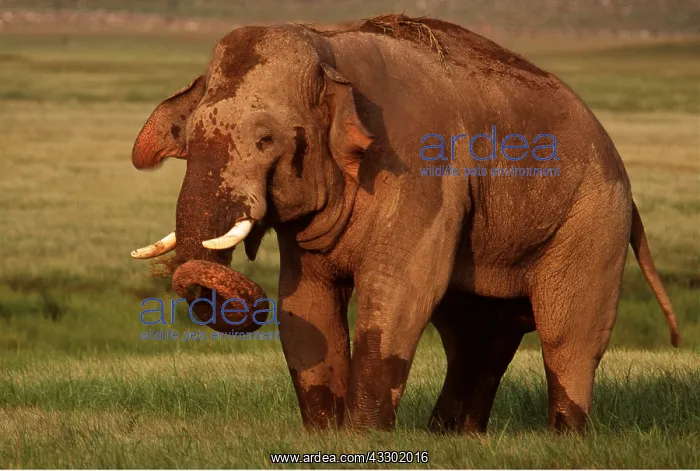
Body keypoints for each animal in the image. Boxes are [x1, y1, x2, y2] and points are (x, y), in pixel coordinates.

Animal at [128, 13, 680, 433]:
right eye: (187, 136)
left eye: (265, 140)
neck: (329, 47)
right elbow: (303, 302)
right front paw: (325, 436)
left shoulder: (419, 169)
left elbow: (399, 289)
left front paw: (363, 437)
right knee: (476, 333)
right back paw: (453, 436)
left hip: (592, 219)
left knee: (570, 335)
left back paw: (562, 437)